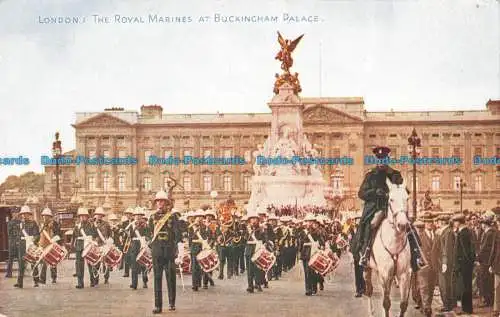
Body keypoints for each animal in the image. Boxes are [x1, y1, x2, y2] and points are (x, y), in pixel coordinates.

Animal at [364, 178, 414, 316]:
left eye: (407, 198)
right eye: (391, 199)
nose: (402, 225)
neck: (394, 242)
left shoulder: (404, 275)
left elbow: (403, 305)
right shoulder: (385, 274)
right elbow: (386, 303)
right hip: (368, 269)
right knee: (369, 290)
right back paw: (371, 311)